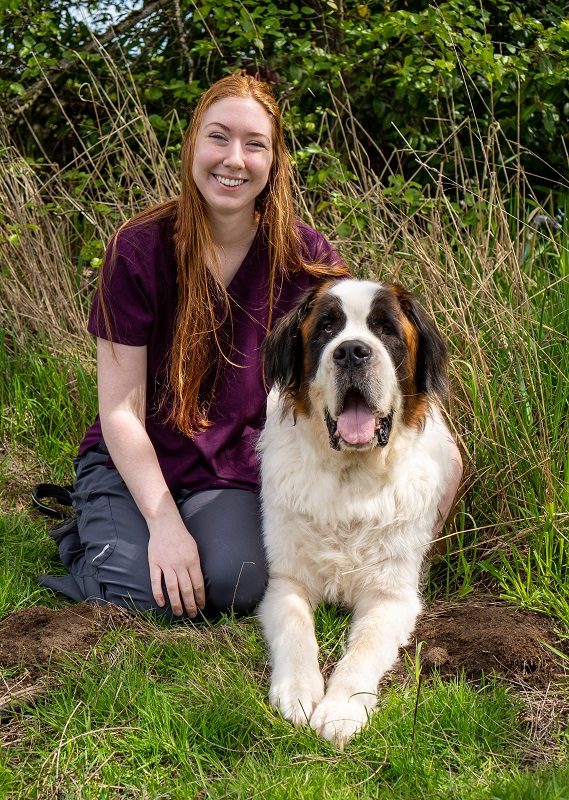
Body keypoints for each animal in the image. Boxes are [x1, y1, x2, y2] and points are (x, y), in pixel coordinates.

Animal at [258, 278, 452, 748]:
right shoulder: (286, 581)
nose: (351, 352)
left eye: (386, 329)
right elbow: (295, 627)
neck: (351, 478)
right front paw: (298, 692)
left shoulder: (391, 597)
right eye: (327, 327)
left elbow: (363, 647)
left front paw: (341, 709)